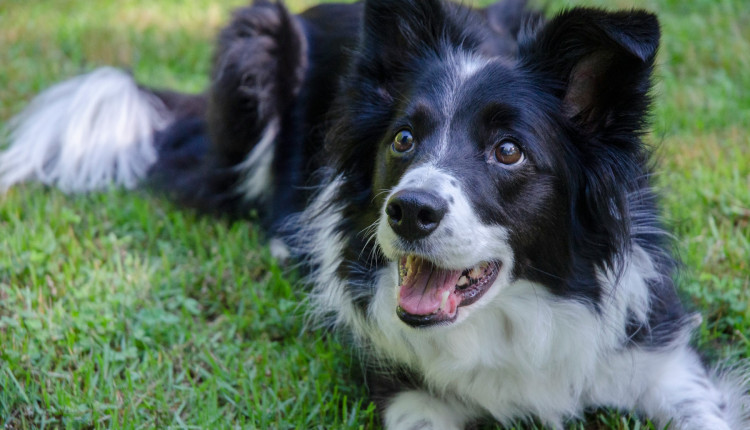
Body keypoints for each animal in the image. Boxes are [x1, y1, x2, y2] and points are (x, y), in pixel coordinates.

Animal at [1, 0, 750, 426]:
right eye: (403, 140)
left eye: (508, 151)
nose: (409, 211)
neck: (518, 317)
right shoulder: (411, 392)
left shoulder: (662, 360)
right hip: (257, 37)